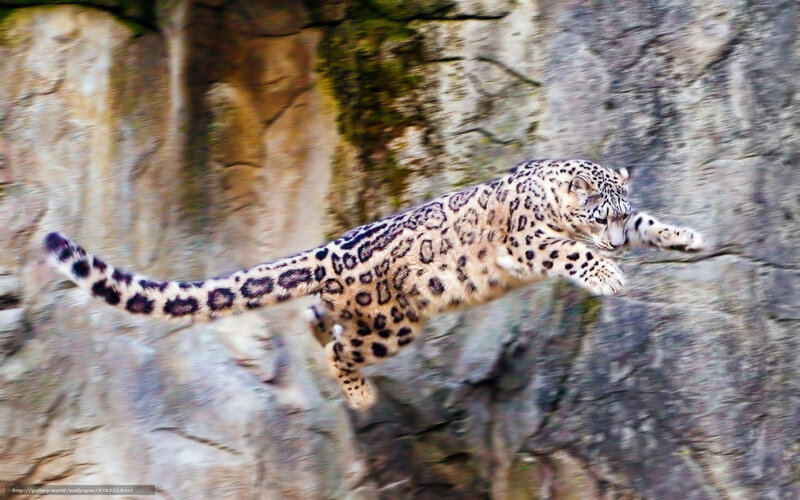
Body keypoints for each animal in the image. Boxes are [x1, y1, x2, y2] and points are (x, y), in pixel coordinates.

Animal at [44, 159, 708, 409]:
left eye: (622, 213)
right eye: (598, 216)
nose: (614, 244)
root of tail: (328, 251)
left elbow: (654, 226)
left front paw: (688, 236)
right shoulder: (529, 239)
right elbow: (566, 249)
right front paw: (609, 274)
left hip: (364, 313)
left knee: (318, 319)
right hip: (394, 323)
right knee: (342, 347)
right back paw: (360, 394)